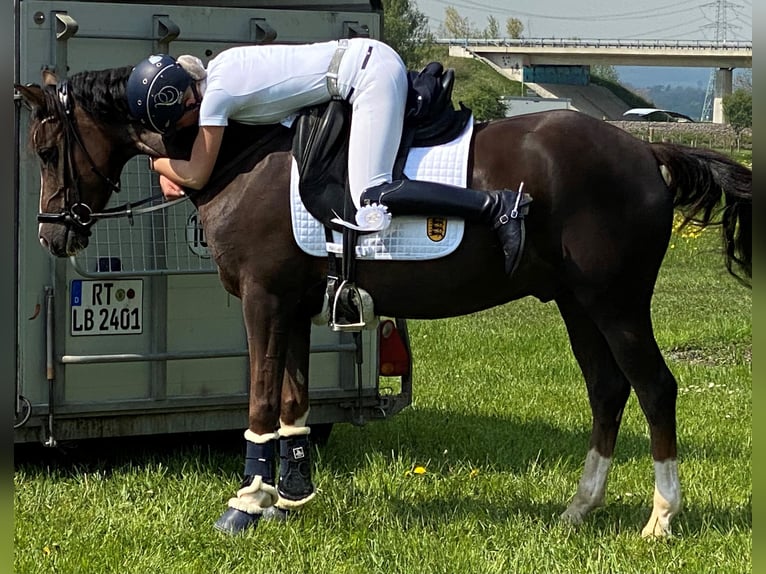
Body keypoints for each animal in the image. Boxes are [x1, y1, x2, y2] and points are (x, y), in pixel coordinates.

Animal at [15, 66, 752, 540]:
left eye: (48, 149)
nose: (54, 233)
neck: (238, 156)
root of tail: (645, 150)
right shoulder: (296, 305)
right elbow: (292, 401)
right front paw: (290, 497)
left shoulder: (263, 299)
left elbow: (260, 400)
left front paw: (247, 504)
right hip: (577, 304)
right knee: (607, 390)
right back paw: (579, 510)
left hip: (616, 302)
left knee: (654, 388)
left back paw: (660, 518)